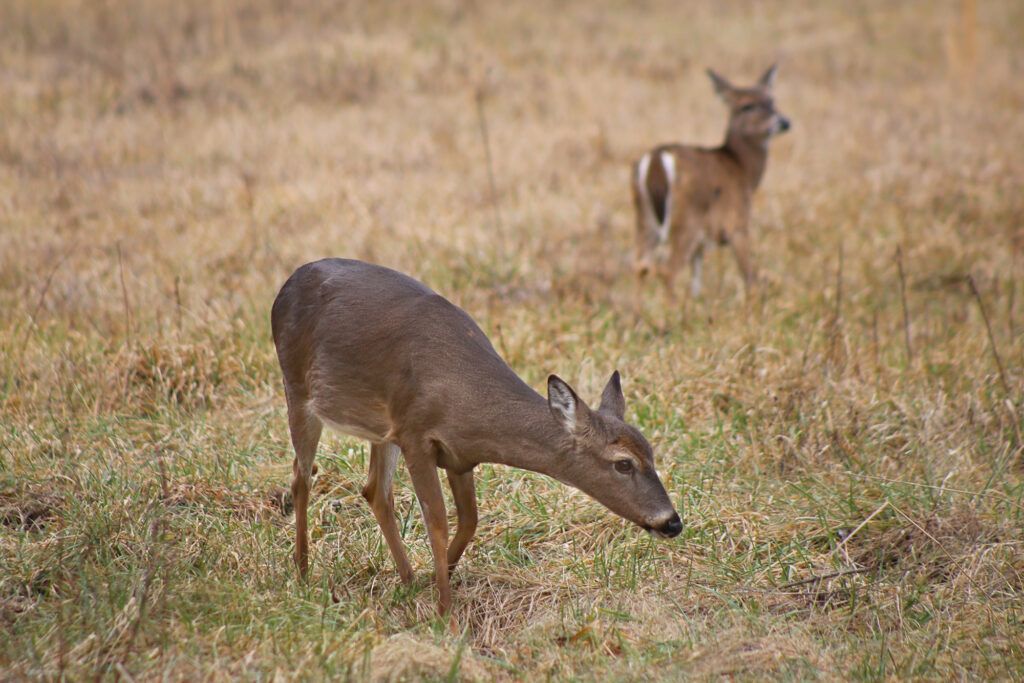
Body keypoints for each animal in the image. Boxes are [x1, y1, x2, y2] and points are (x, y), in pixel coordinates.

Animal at [271, 258, 682, 618]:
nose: (672, 522)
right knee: (301, 476)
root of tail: (287, 283)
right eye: (623, 464)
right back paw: (303, 572)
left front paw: (433, 583)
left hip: (380, 428)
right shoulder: (415, 434)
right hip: (298, 388)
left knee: (374, 490)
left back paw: (406, 579)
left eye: (652, 454)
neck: (466, 399)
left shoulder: (459, 456)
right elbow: (437, 522)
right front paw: (445, 613)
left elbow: (469, 520)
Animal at [632, 64, 790, 299]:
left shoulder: (701, 245)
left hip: (645, 221)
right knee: (667, 271)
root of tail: (656, 160)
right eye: (747, 106)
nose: (784, 122)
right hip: (685, 221)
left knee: (641, 267)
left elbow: (696, 282)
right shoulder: (738, 224)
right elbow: (749, 276)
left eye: (772, 100)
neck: (742, 168)